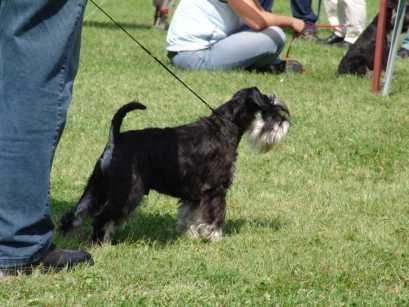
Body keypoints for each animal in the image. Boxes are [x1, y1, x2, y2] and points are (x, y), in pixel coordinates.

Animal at [58, 88, 290, 244]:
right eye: (270, 107)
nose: (285, 123)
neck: (225, 126)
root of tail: (116, 139)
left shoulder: (194, 193)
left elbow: (190, 215)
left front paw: (191, 235)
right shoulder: (216, 189)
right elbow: (215, 215)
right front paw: (215, 238)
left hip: (98, 185)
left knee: (78, 210)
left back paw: (66, 234)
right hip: (128, 192)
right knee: (101, 217)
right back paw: (101, 243)